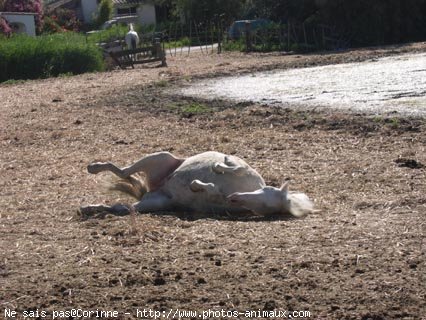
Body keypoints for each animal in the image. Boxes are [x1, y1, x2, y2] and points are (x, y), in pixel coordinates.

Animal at [80, 152, 312, 218]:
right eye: (266, 191)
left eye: (264, 208)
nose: (236, 198)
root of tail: (156, 188)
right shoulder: (242, 167)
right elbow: (235, 166)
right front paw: (219, 165)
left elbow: (211, 190)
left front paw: (196, 185)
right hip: (159, 157)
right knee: (123, 171)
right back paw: (93, 167)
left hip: (155, 203)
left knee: (121, 207)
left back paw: (89, 208)